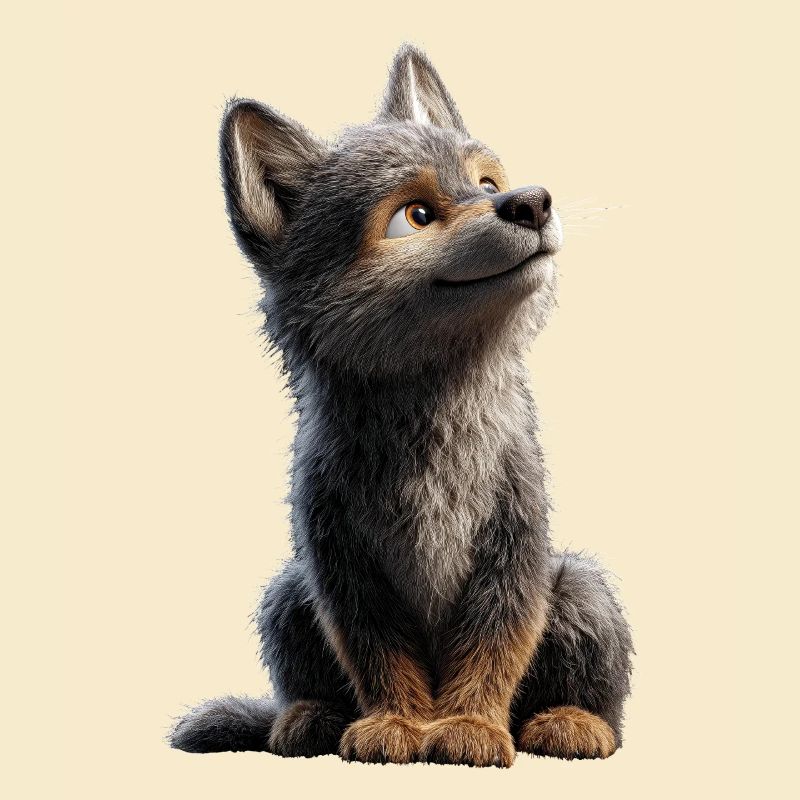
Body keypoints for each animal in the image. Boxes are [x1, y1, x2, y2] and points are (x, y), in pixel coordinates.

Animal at [170, 44, 633, 767]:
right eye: (414, 216)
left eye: (488, 183)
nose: (532, 202)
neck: (432, 418)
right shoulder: (340, 564)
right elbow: (378, 652)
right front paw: (398, 723)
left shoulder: (514, 547)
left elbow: (494, 644)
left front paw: (469, 726)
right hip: (287, 595)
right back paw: (307, 719)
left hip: (583, 588)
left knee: (596, 695)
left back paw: (573, 722)